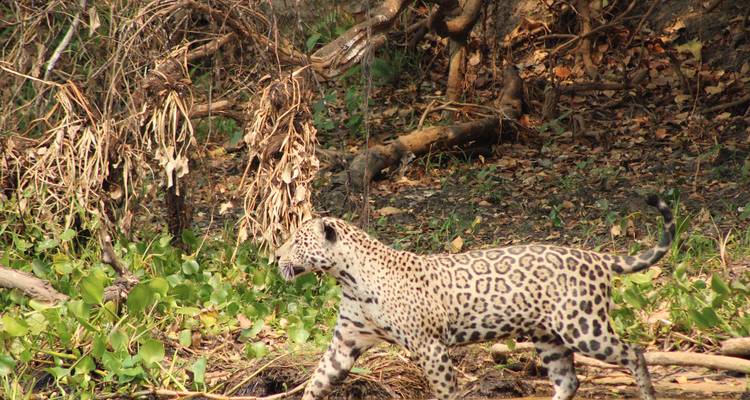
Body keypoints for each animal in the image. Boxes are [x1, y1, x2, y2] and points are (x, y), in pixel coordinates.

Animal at [275, 195, 674, 400]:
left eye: (296, 240)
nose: (275, 257)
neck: (349, 278)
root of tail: (598, 257)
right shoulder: (346, 341)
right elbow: (318, 380)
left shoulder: (430, 346)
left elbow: (444, 392)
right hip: (549, 336)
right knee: (567, 380)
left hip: (583, 326)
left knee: (634, 352)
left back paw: (648, 394)